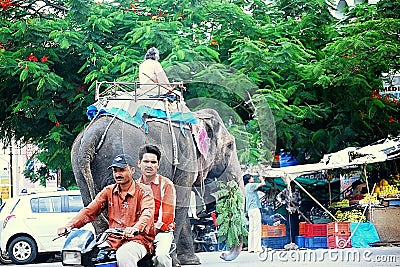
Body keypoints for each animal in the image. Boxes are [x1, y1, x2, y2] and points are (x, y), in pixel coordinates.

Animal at [71, 101, 244, 264]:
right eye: (230, 145)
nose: (223, 255)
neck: (194, 116)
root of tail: (91, 135)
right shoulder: (186, 158)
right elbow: (179, 201)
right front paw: (174, 260)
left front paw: (190, 261)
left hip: (80, 170)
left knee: (93, 208)